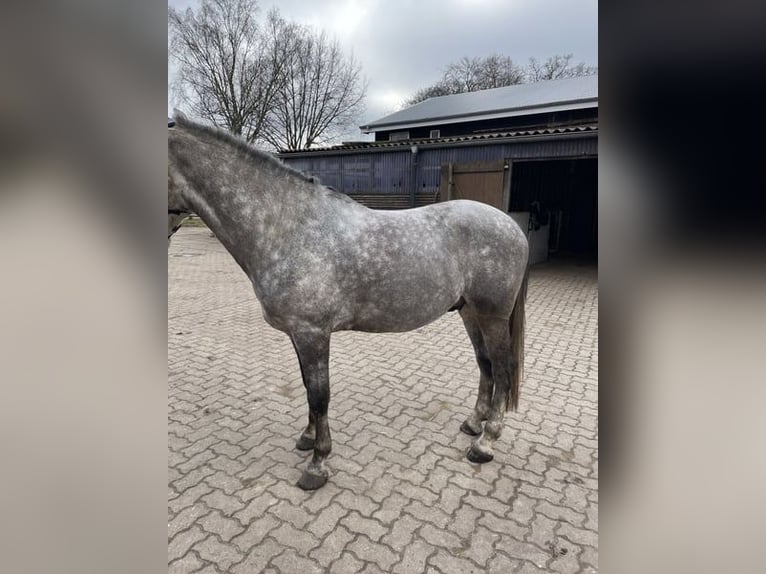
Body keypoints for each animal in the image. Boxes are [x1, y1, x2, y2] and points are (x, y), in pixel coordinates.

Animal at [168, 112, 529, 490]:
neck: (289, 228)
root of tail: (511, 226)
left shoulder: (312, 332)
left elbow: (319, 393)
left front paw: (317, 464)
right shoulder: (299, 333)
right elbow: (307, 386)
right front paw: (307, 438)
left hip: (492, 316)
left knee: (503, 370)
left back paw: (485, 443)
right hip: (470, 313)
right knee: (485, 365)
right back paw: (473, 424)